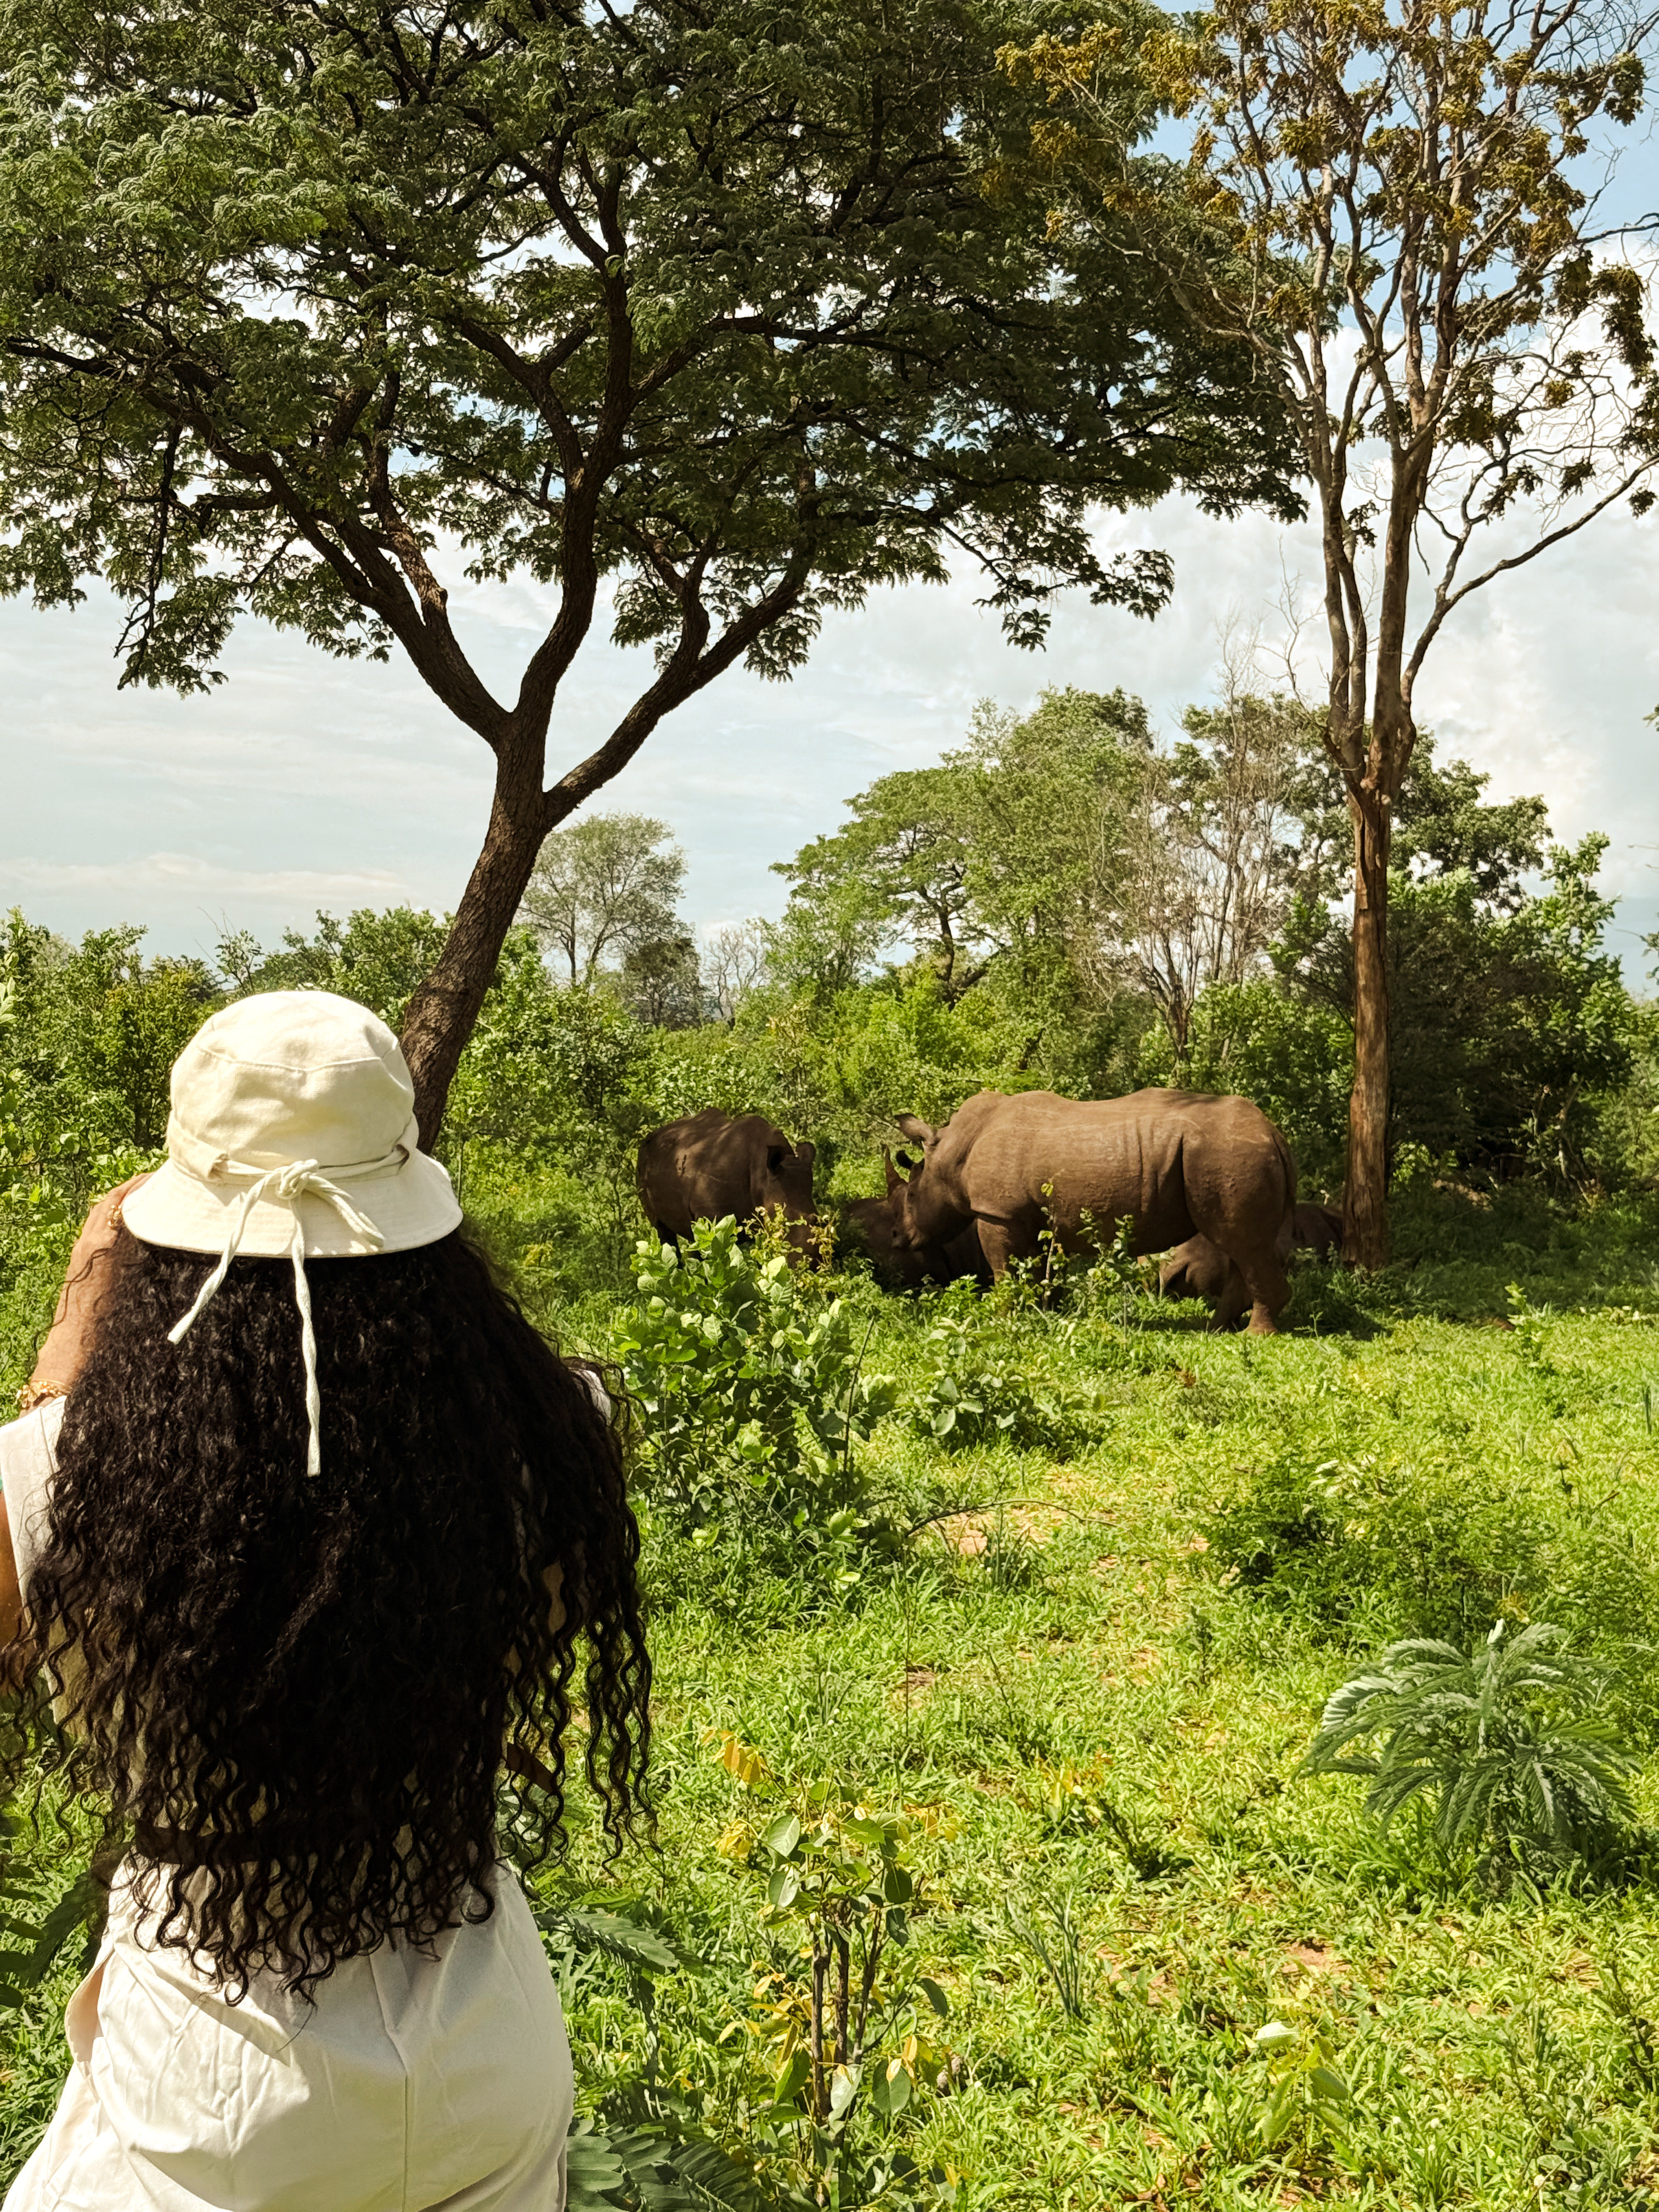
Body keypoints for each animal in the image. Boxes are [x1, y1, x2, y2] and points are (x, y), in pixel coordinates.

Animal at [636, 1108, 818, 1254]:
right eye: (784, 1224)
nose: (813, 1265)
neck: (762, 1175)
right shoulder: (712, 1222)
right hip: (642, 1164)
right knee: (662, 1231)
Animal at [890, 1087, 1297, 1333]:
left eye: (910, 1196)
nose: (896, 1239)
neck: (950, 1153)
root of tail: (1274, 1133)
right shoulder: (1034, 1217)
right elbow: (1040, 1269)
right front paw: (1044, 1314)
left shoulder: (997, 1213)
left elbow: (1004, 1269)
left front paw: (1002, 1320)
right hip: (1228, 1155)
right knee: (1242, 1248)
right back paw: (1215, 1329)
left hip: (1227, 1156)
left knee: (1244, 1246)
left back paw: (1255, 1336)